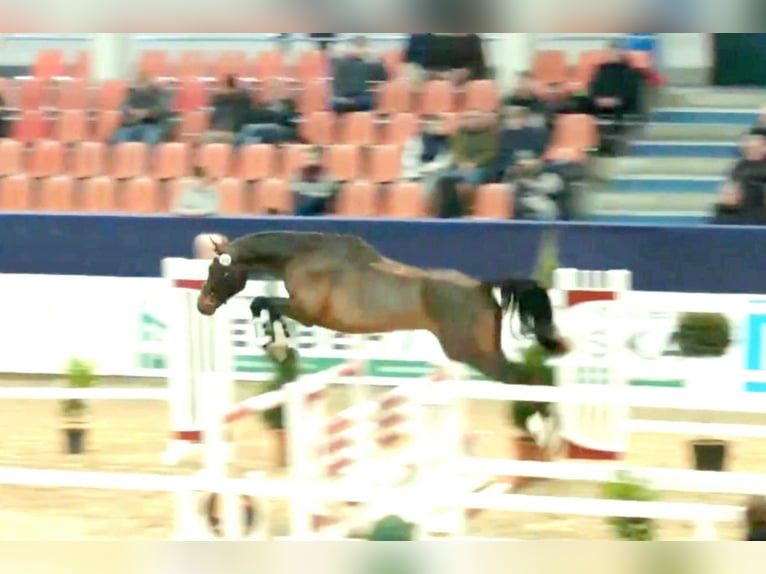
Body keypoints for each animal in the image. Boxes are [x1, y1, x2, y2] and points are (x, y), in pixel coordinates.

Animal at [196, 231, 568, 384]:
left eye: (218, 270)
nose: (203, 306)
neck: (303, 255)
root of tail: (480, 286)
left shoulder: (307, 311)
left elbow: (263, 303)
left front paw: (273, 343)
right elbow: (268, 308)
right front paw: (280, 345)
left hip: (473, 353)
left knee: (525, 379)